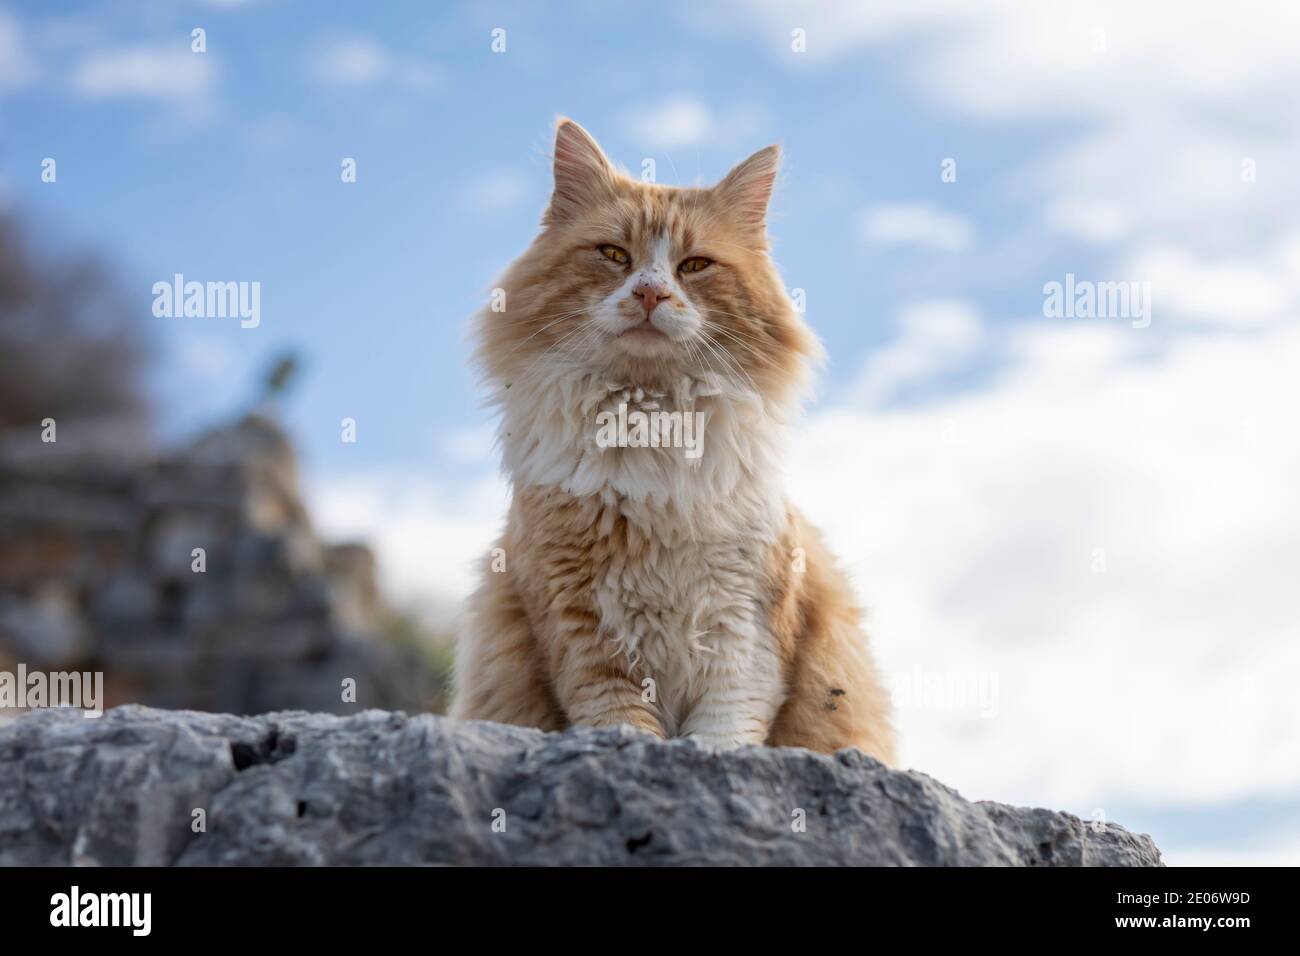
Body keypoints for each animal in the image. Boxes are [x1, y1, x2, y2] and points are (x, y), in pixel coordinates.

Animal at [452, 119, 899, 764]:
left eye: (694, 266)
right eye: (615, 255)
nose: (650, 294)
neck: (652, 427)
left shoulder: (746, 626)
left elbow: (724, 729)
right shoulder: (579, 624)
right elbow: (619, 719)